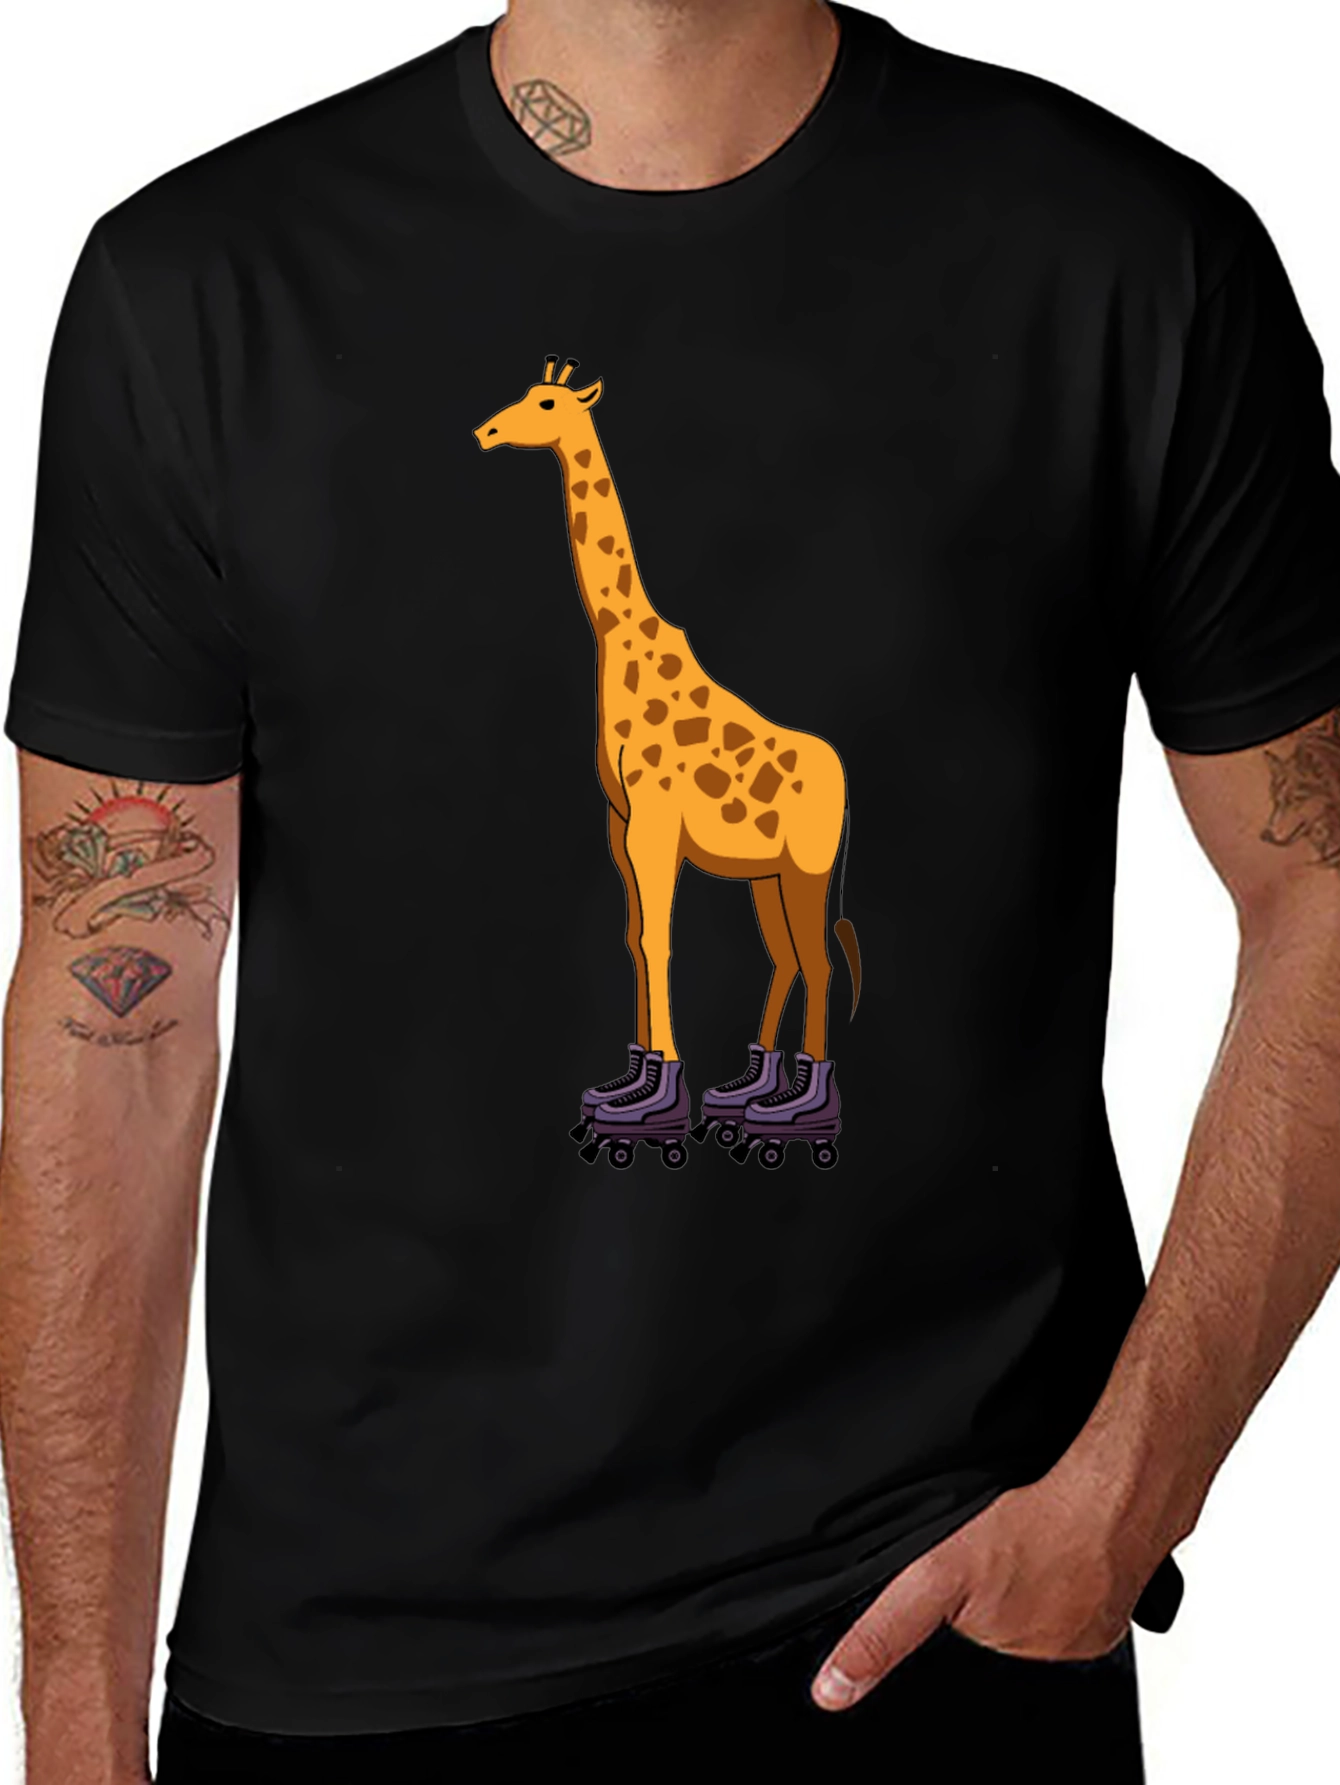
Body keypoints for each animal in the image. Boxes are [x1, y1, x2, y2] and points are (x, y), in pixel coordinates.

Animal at [474, 358, 859, 1154]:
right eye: (525, 396)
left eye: (547, 403)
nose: (486, 431)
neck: (621, 642)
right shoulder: (620, 823)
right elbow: (632, 937)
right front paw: (631, 1084)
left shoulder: (655, 824)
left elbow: (660, 940)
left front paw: (657, 1107)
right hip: (767, 873)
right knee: (786, 957)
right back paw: (751, 1093)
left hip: (808, 866)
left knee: (818, 959)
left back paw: (802, 1113)